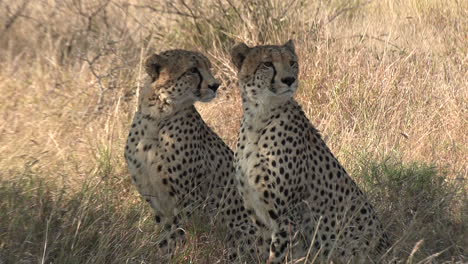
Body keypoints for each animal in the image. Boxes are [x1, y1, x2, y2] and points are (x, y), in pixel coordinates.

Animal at [123, 49, 256, 260]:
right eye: (193, 70)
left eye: (208, 67)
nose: (215, 85)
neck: (157, 117)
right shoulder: (156, 200)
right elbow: (167, 236)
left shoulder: (187, 199)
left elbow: (182, 233)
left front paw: (180, 255)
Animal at [230, 40, 388, 262]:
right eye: (267, 63)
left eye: (292, 62)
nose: (289, 80)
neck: (259, 118)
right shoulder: (259, 218)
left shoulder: (287, 216)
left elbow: (277, 256)